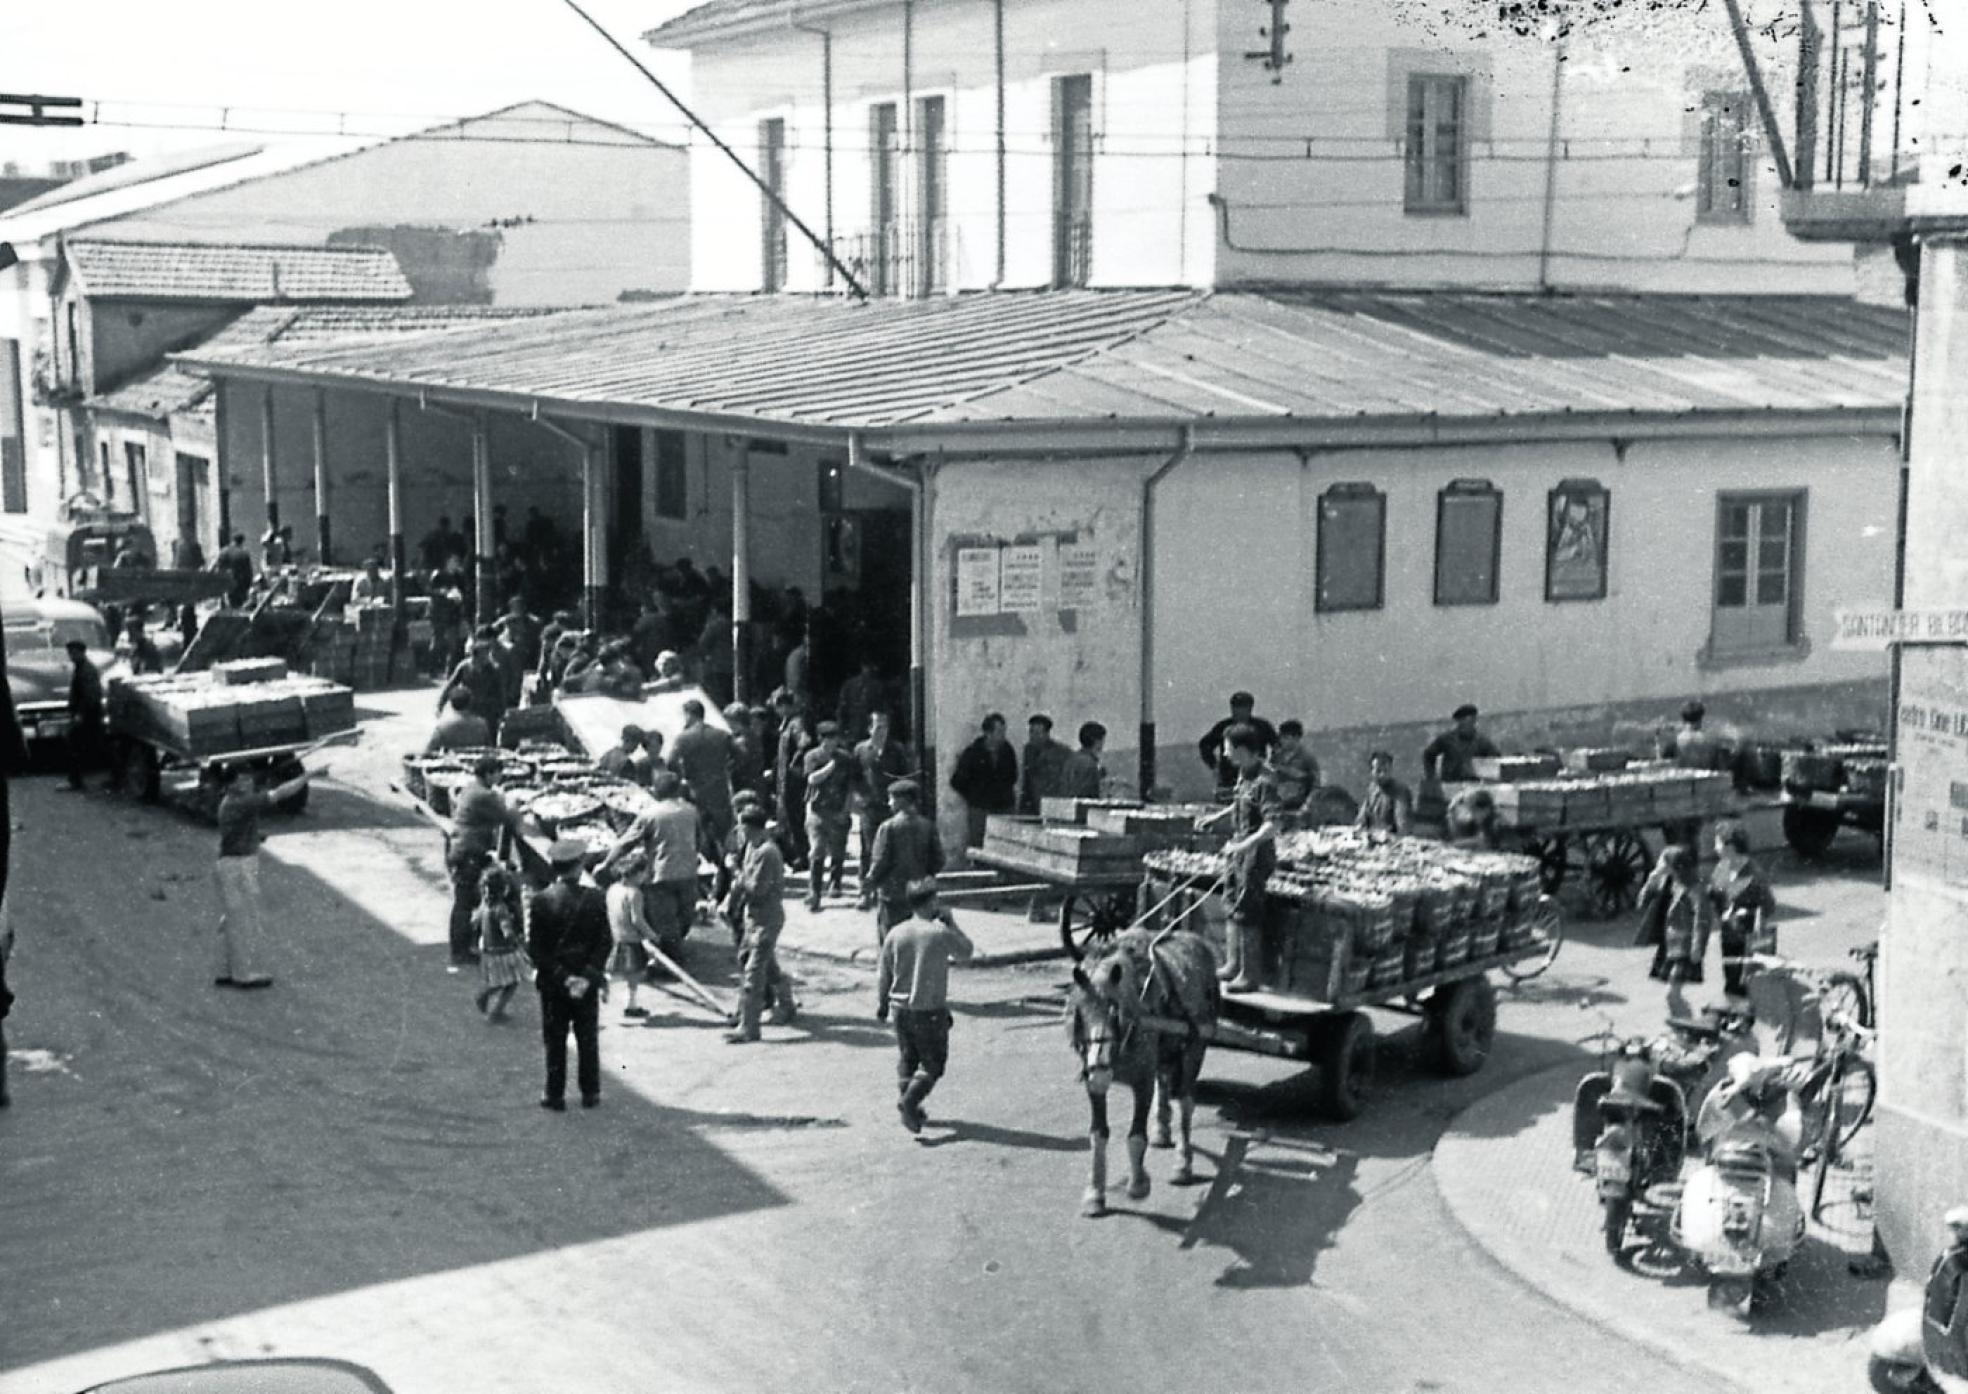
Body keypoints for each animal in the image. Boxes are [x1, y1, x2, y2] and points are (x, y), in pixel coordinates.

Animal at [1062, 929, 1212, 1212]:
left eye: (1115, 1012)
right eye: (1078, 1013)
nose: (1100, 1072)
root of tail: (1196, 939)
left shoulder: (1142, 1079)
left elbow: (1135, 1136)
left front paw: (1138, 1185)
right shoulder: (1092, 1082)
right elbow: (1098, 1134)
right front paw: (1095, 1193)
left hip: (1195, 1049)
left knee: (1186, 1102)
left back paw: (1183, 1164)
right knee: (1165, 1081)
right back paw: (1162, 1130)